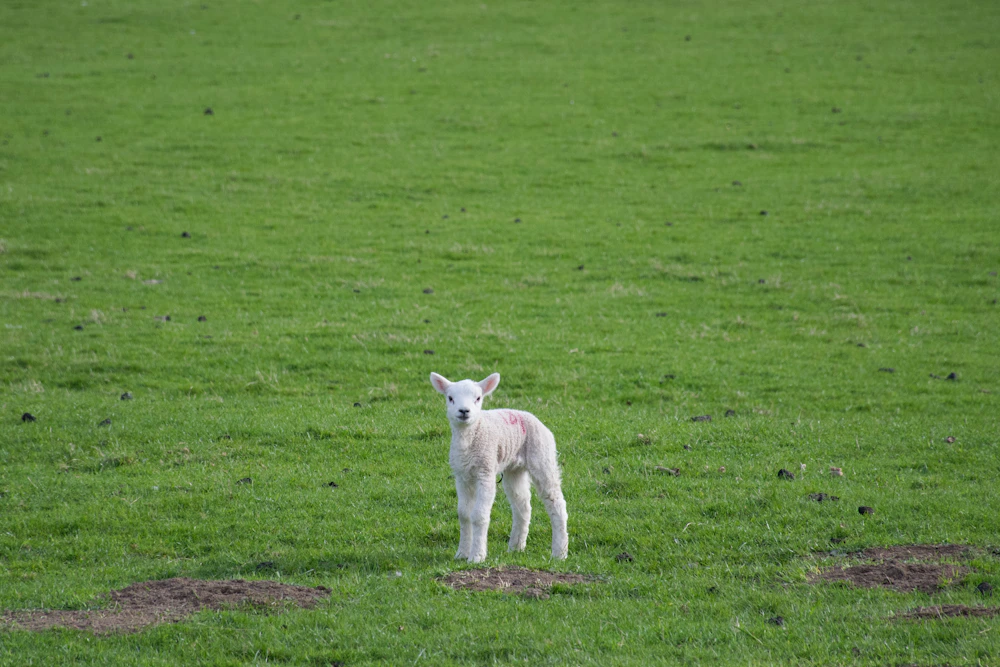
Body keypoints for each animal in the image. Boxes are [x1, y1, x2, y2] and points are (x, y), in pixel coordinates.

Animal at [429, 372, 568, 563]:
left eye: (478, 398)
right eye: (450, 398)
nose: (464, 411)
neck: (470, 438)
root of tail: (532, 417)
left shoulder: (485, 472)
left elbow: (479, 515)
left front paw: (476, 556)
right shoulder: (462, 476)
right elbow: (464, 514)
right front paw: (461, 554)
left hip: (542, 456)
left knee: (556, 502)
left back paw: (559, 553)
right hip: (514, 469)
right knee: (522, 506)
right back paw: (516, 547)